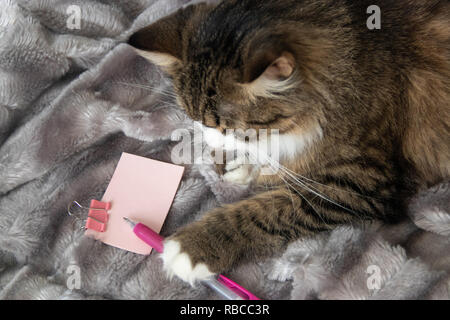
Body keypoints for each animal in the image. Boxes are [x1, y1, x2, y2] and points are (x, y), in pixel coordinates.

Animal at [127, 0, 450, 284]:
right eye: (193, 117)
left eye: (224, 127)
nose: (209, 140)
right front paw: (241, 161)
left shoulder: (360, 182)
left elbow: (271, 210)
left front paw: (195, 246)